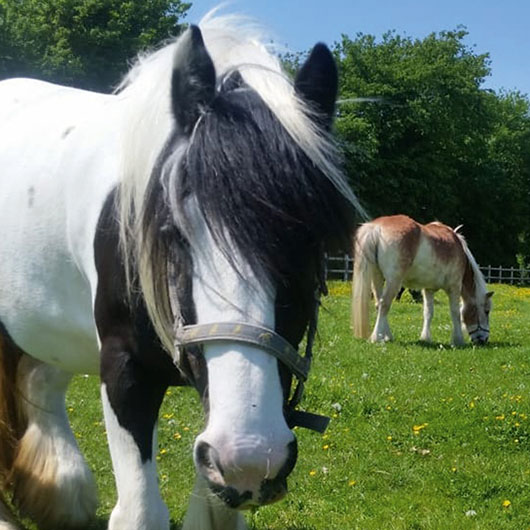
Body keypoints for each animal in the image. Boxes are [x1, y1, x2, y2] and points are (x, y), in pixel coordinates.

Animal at [350, 212, 490, 344]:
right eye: (487, 311)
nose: (483, 339)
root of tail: (377, 227)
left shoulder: (428, 289)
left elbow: (428, 312)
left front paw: (425, 338)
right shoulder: (454, 287)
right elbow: (455, 312)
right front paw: (458, 340)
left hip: (377, 277)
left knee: (379, 304)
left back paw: (387, 336)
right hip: (393, 281)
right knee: (384, 305)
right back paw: (377, 337)